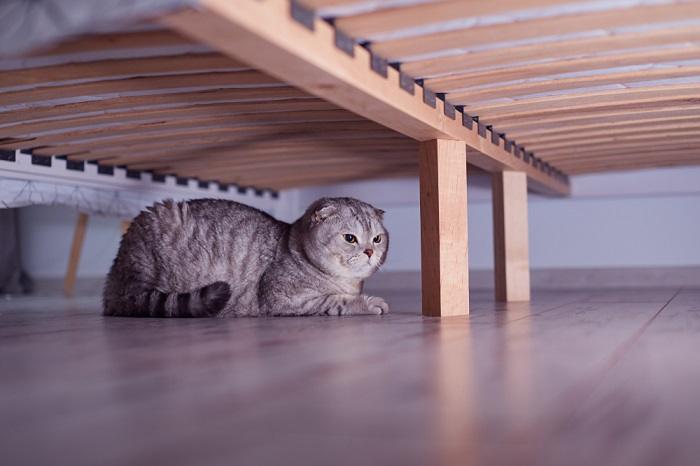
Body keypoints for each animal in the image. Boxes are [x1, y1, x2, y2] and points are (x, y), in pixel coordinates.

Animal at [102, 195, 388, 318]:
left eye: (377, 239)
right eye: (350, 238)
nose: (370, 251)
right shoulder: (284, 299)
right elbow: (336, 301)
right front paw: (370, 303)